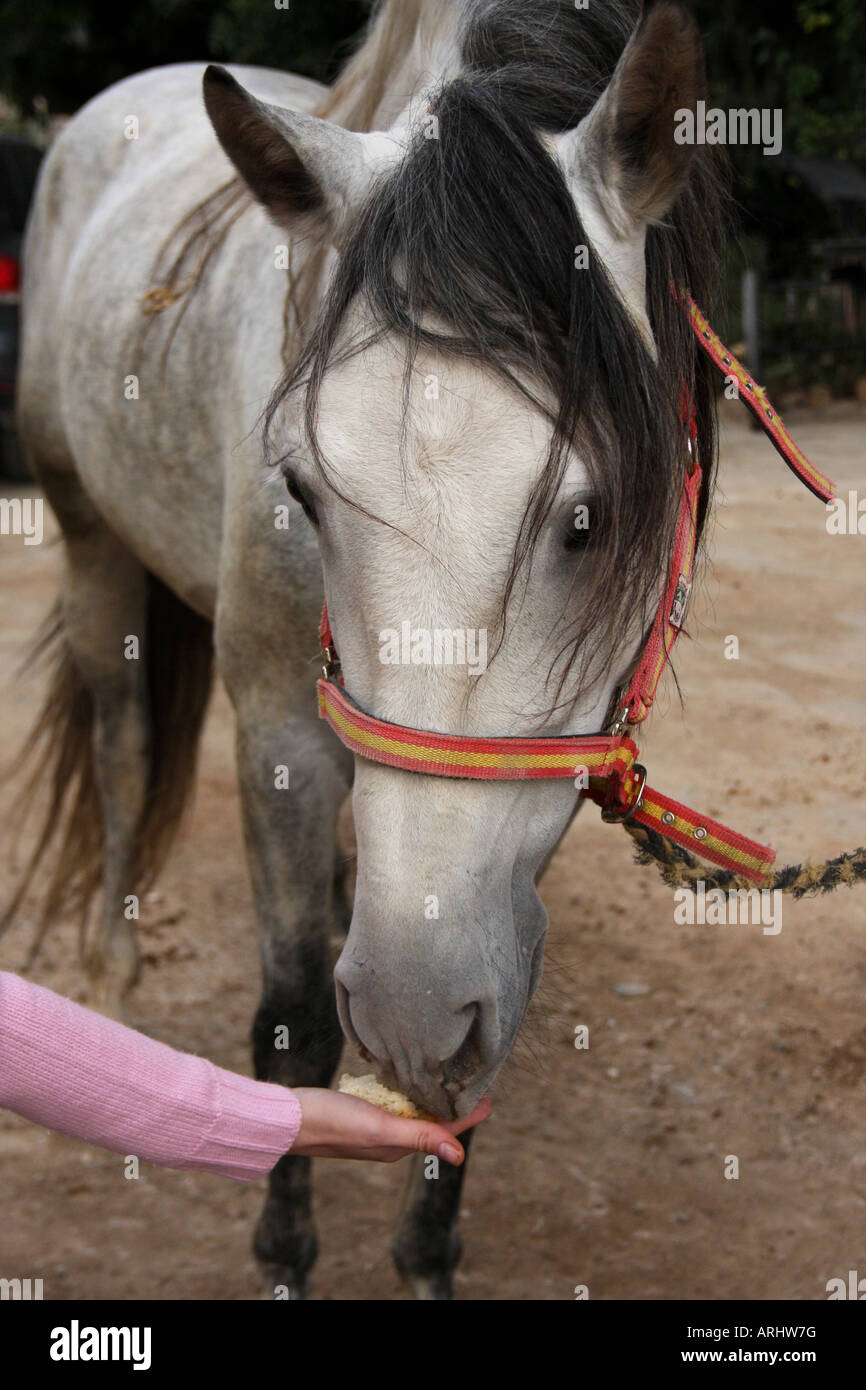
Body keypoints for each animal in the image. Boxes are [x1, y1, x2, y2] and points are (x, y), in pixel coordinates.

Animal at [13, 0, 722, 1295]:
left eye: (590, 521)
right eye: (299, 486)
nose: (404, 1013)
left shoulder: (527, 804)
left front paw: (427, 1248)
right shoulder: (281, 739)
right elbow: (290, 1014)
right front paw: (287, 1247)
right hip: (90, 542)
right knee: (122, 744)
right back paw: (114, 968)